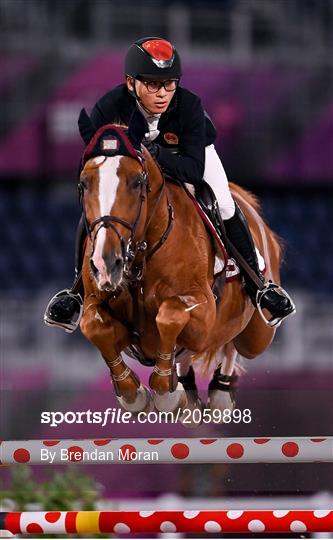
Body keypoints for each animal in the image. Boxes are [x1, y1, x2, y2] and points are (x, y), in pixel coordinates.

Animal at [79, 112, 282, 418]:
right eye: (83, 183)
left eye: (137, 181)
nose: (106, 264)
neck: (140, 259)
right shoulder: (96, 300)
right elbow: (92, 324)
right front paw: (132, 393)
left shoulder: (203, 309)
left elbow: (171, 314)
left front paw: (164, 392)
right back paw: (187, 391)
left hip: (258, 334)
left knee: (233, 343)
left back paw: (220, 393)